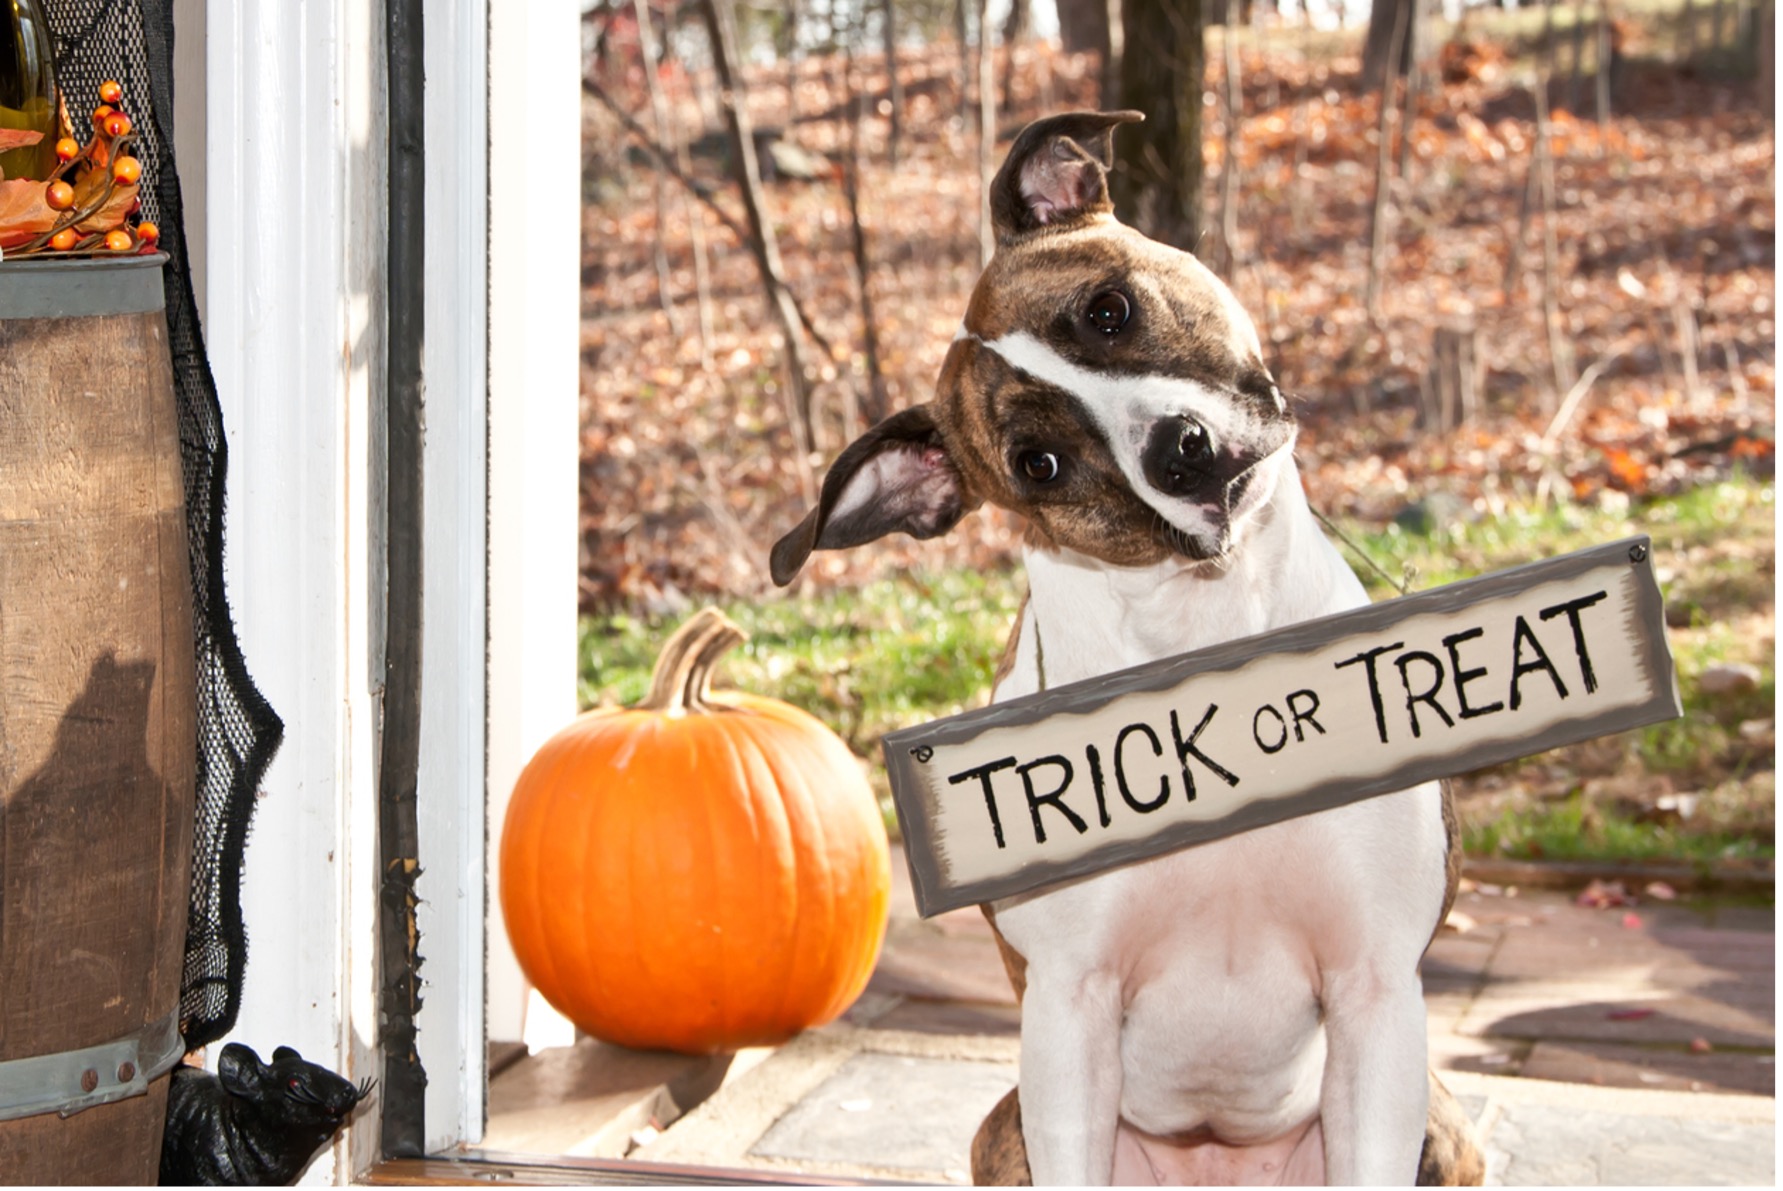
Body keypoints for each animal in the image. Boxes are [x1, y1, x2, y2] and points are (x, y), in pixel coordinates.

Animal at [773, 109, 1483, 1183]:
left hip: (1441, 1121)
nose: (1180, 449)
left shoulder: (1374, 990)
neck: (1203, 634)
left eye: (1107, 310)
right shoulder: (1070, 1014)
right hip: (1004, 1126)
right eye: (1038, 462)